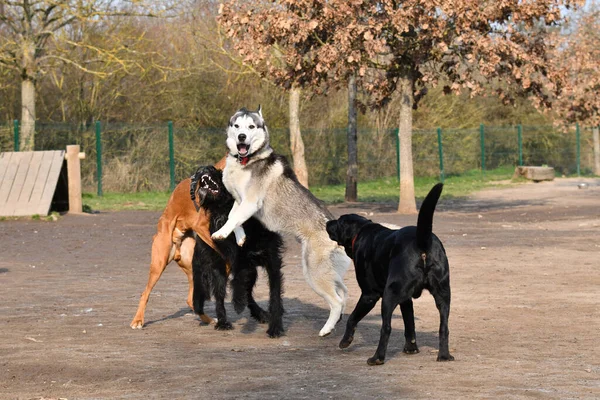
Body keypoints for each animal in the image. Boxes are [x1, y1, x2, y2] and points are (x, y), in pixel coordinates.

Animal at [192, 166, 286, 338]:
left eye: (221, 172)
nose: (205, 168)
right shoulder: (237, 260)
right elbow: (237, 280)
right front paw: (236, 303)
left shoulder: (272, 262)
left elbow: (275, 296)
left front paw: (275, 327)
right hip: (219, 269)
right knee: (221, 296)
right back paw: (223, 322)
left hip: (251, 271)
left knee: (247, 293)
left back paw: (259, 313)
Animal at [212, 106, 350, 338]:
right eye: (237, 125)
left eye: (251, 126)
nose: (242, 137)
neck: (247, 161)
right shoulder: (239, 200)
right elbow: (234, 218)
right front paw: (240, 237)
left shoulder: (251, 202)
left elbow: (235, 219)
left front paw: (221, 233)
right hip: (329, 271)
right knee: (344, 293)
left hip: (313, 272)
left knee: (337, 301)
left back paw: (326, 329)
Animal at [326, 184, 452, 366]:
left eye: (339, 221)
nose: (327, 222)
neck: (362, 232)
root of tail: (422, 241)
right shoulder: (406, 299)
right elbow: (409, 323)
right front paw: (411, 348)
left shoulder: (369, 295)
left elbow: (352, 319)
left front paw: (345, 341)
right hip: (443, 294)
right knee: (444, 327)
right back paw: (444, 355)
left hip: (389, 295)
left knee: (386, 328)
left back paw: (377, 358)